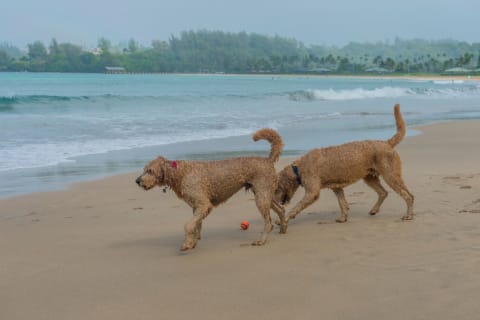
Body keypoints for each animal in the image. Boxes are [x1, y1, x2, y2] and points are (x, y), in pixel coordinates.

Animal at [136, 129, 284, 251]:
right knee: (281, 209)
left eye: (150, 171)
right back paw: (283, 228)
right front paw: (193, 242)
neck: (180, 173)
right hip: (264, 194)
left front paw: (186, 244)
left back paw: (261, 240)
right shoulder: (197, 207)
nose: (137, 181)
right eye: (144, 169)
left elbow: (188, 225)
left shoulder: (203, 204)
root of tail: (268, 160)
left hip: (261, 197)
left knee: (269, 223)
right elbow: (197, 225)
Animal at [276, 105, 414, 232]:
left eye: (276, 189)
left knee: (408, 196)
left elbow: (296, 207)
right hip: (370, 178)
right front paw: (343, 218)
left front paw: (283, 219)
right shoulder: (337, 188)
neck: (298, 168)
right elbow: (342, 203)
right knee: (383, 193)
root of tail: (386, 143)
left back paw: (408, 216)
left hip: (390, 176)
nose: (276, 203)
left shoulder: (312, 193)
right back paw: (374, 210)